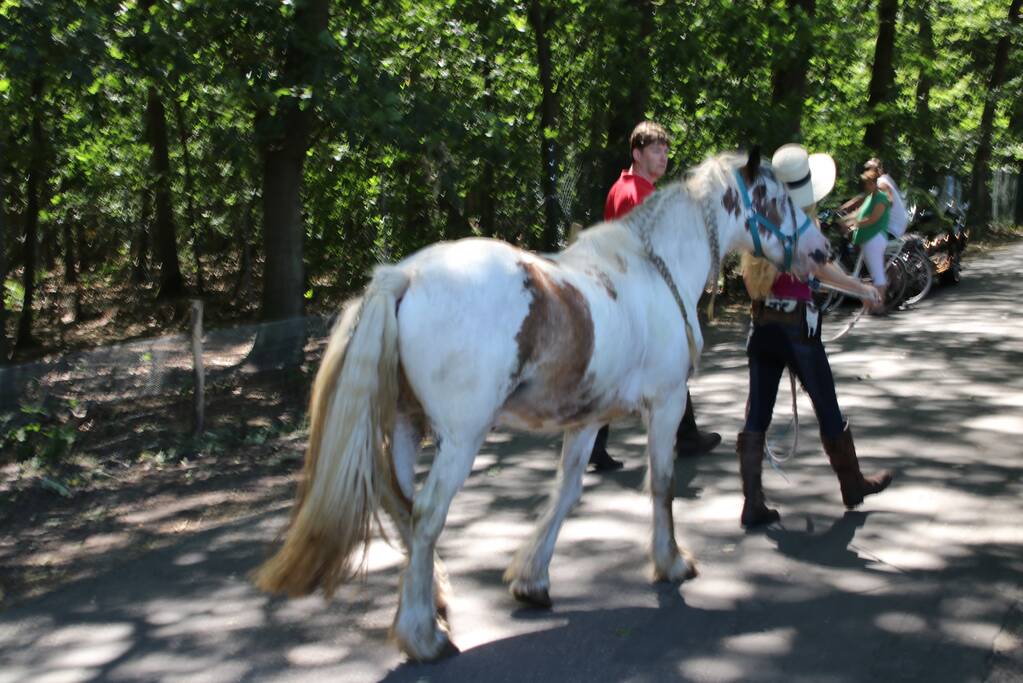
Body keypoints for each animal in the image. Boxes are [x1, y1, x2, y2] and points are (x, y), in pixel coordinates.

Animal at [253, 149, 830, 662]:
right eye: (779, 199)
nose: (823, 251)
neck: (654, 269)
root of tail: (404, 277)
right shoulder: (666, 405)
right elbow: (662, 483)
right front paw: (670, 563)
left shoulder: (588, 419)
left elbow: (567, 491)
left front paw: (532, 578)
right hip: (459, 440)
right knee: (427, 514)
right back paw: (423, 637)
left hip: (405, 427)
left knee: (401, 506)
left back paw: (432, 602)